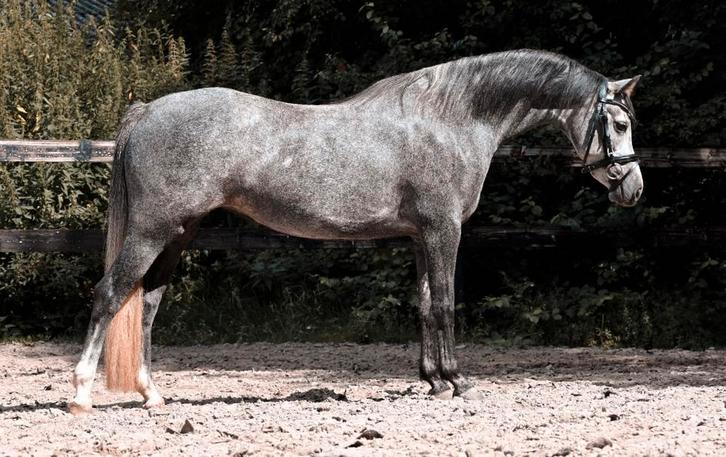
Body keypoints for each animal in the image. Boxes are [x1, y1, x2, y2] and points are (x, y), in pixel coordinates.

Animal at [69, 49, 643, 414]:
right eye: (618, 124)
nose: (633, 188)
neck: (451, 121)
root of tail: (147, 111)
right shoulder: (443, 231)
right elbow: (445, 304)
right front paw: (458, 381)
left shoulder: (420, 236)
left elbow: (424, 305)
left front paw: (433, 381)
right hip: (152, 230)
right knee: (110, 294)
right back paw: (80, 395)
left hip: (178, 233)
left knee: (147, 303)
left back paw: (152, 395)